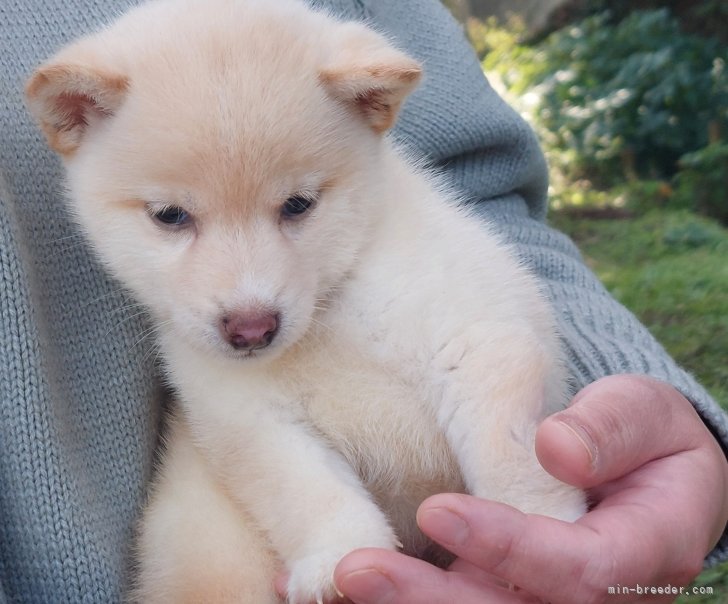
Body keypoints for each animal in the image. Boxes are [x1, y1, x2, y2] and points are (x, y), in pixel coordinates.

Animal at [28, 0, 584, 600]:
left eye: (298, 204)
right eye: (170, 216)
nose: (251, 327)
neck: (329, 313)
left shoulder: (480, 343)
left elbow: (512, 463)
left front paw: (537, 535)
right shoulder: (253, 421)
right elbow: (311, 495)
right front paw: (339, 559)